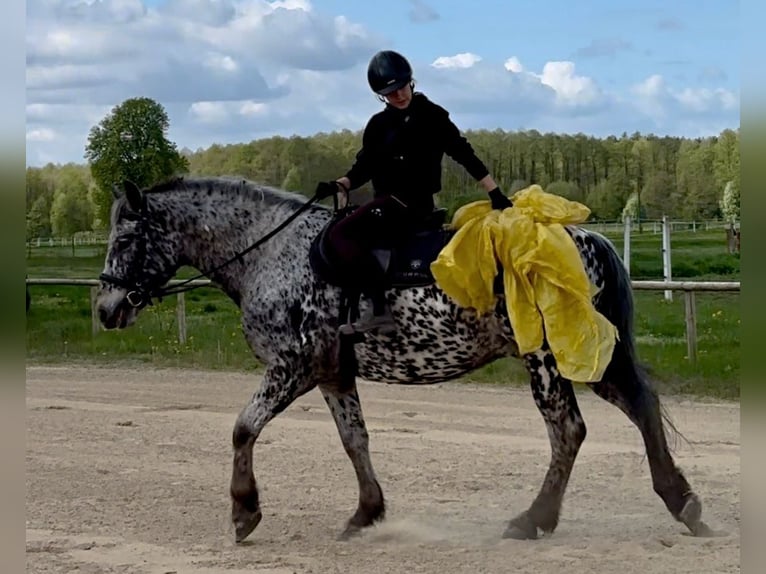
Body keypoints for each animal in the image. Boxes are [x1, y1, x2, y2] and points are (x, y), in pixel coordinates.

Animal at [97, 178, 720, 548]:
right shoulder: (333, 373)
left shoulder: (293, 367)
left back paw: (533, 518)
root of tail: (588, 238)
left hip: (547, 358)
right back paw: (682, 504)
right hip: (589, 357)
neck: (271, 254)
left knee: (568, 430)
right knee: (641, 408)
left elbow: (242, 428)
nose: (105, 309)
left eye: (124, 240)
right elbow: (355, 440)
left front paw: (244, 511)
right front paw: (366, 512)